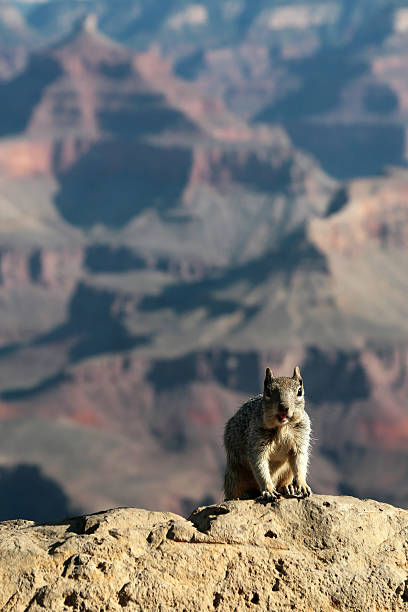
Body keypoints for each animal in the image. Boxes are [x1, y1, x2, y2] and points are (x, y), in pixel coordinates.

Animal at [223, 364, 312, 502]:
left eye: (299, 391)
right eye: (268, 392)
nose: (283, 407)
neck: (282, 427)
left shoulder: (300, 439)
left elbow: (299, 461)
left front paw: (302, 485)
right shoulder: (257, 440)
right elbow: (260, 464)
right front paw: (269, 490)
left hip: (287, 472)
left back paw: (288, 487)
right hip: (235, 475)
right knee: (234, 492)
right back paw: (242, 495)